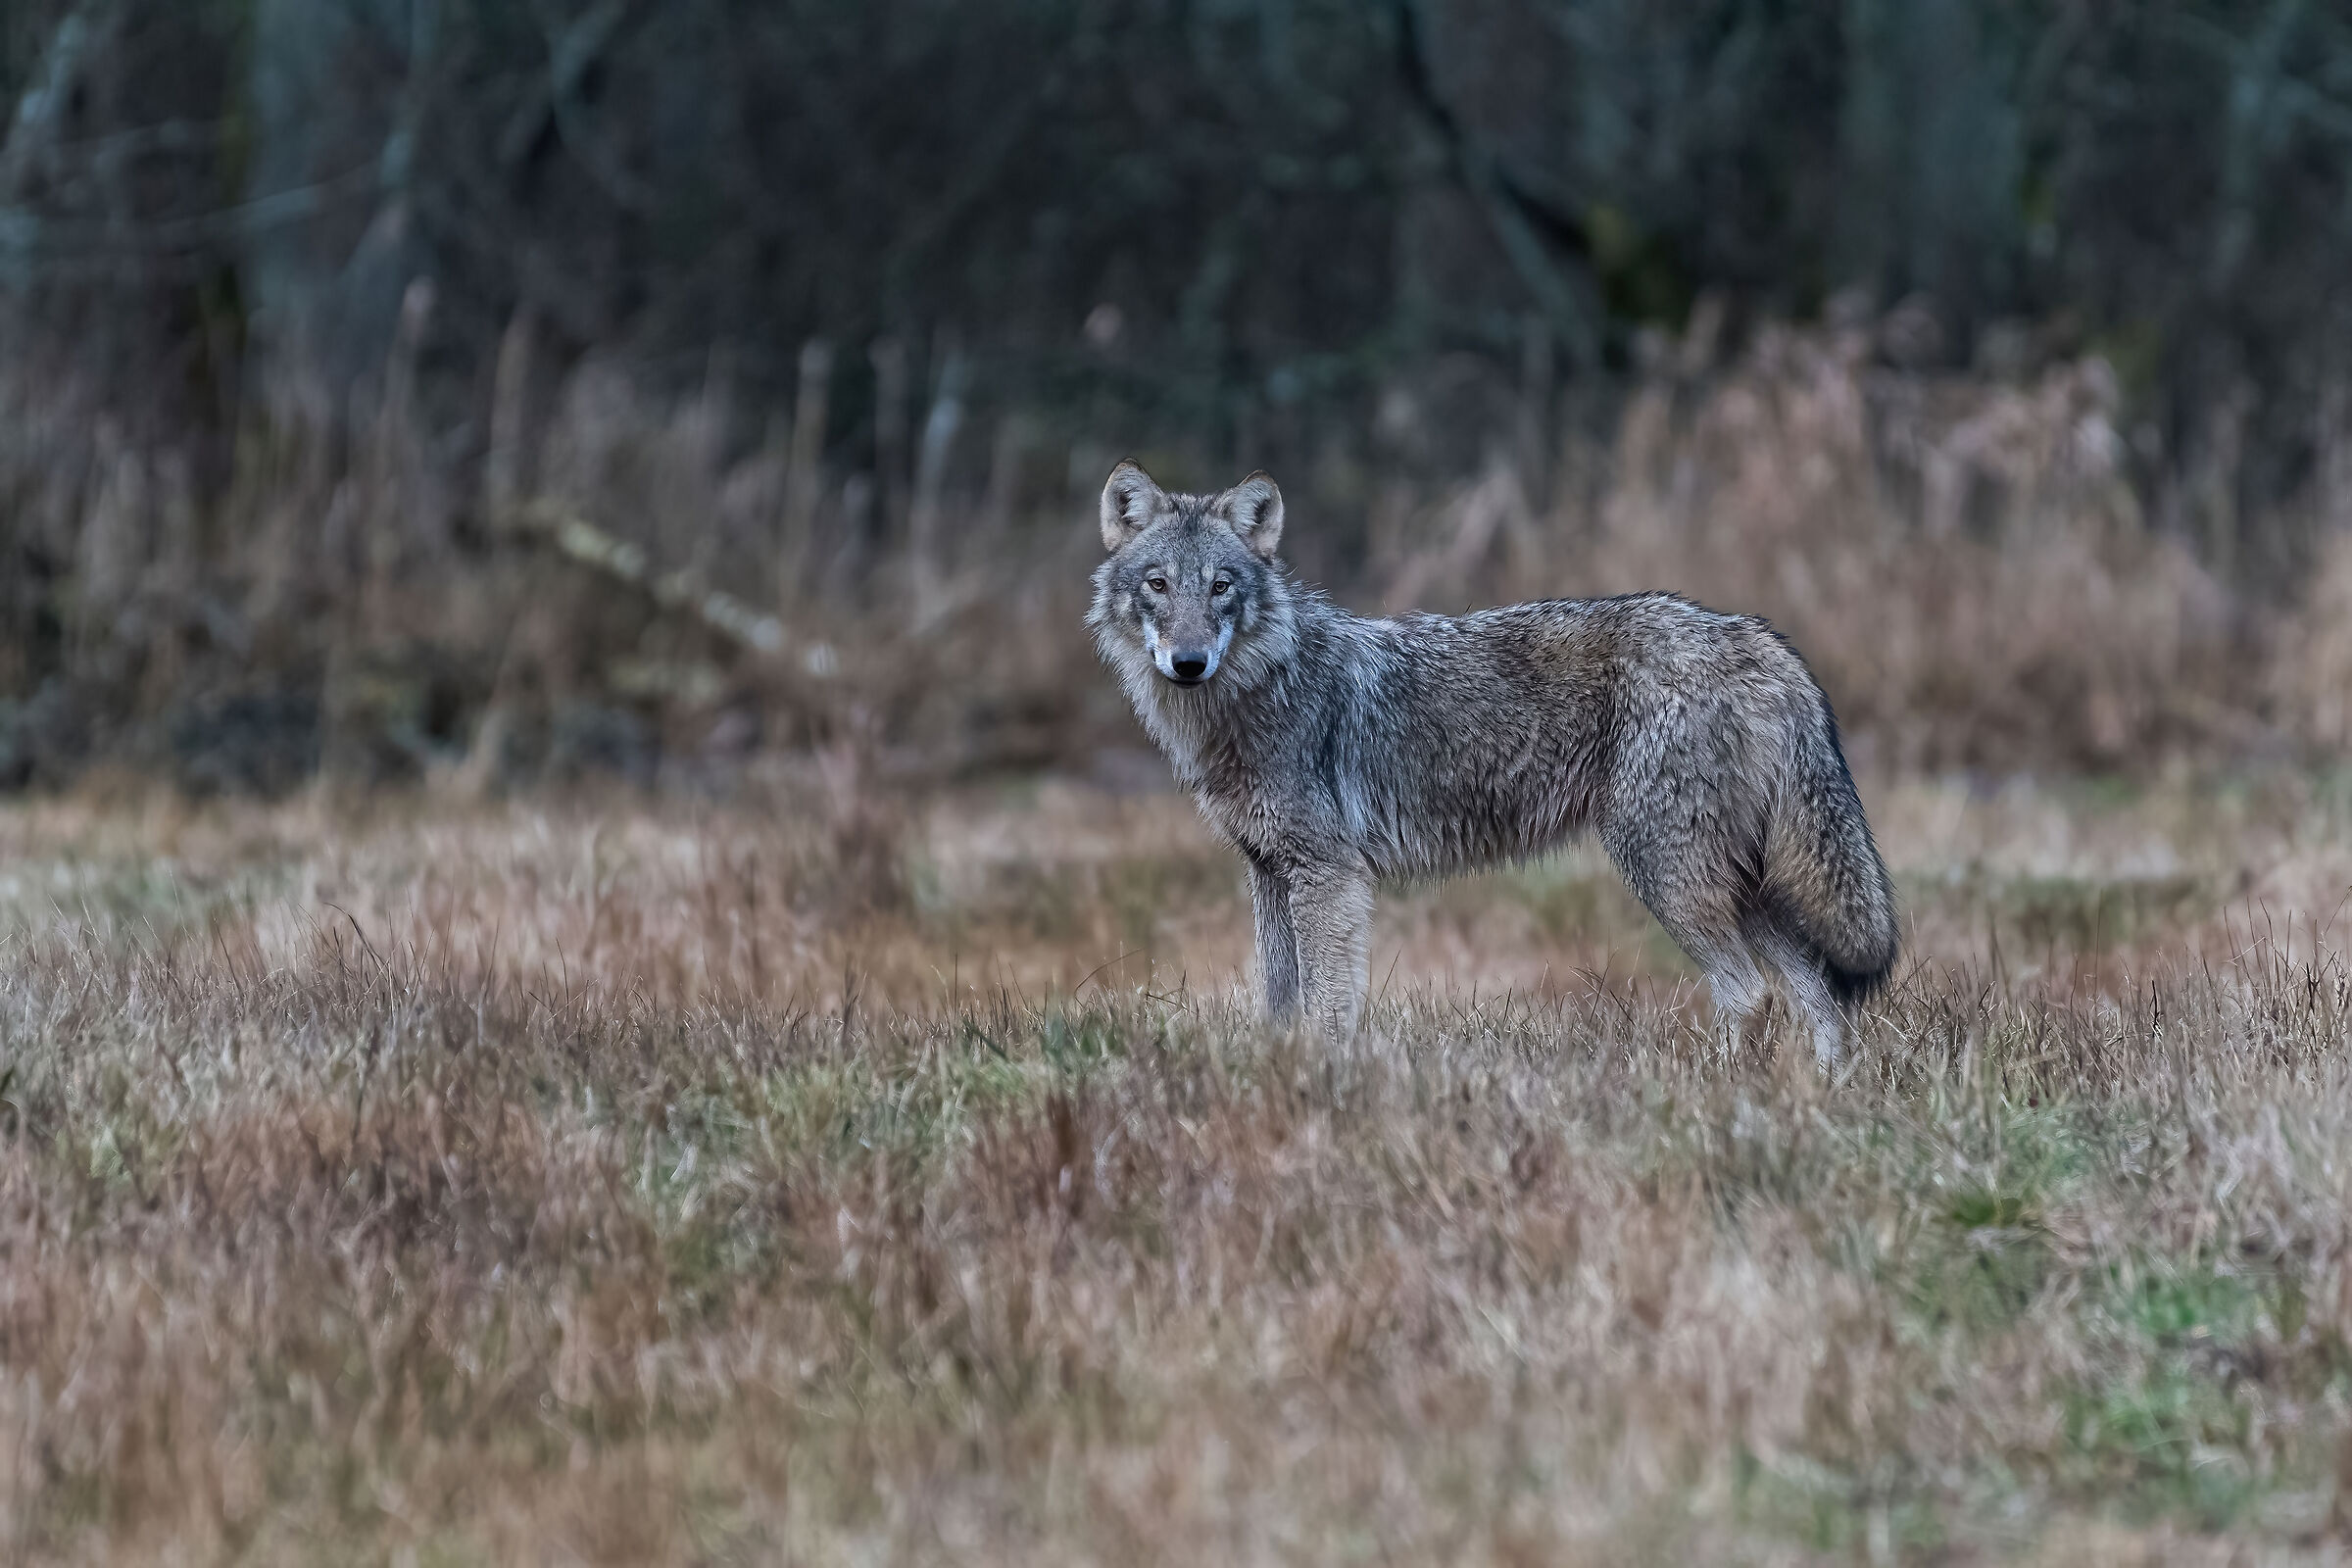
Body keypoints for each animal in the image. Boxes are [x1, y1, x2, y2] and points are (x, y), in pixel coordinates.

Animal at [1087, 460, 1899, 1062]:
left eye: (1221, 586)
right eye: (1158, 585)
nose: (1188, 663)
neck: (1258, 692)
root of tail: (1756, 636)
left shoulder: (1328, 875)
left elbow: (1328, 1007)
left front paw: (1323, 1083)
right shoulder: (1267, 871)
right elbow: (1280, 1002)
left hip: (1668, 873)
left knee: (1749, 993)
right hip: (1740, 884)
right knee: (1817, 995)